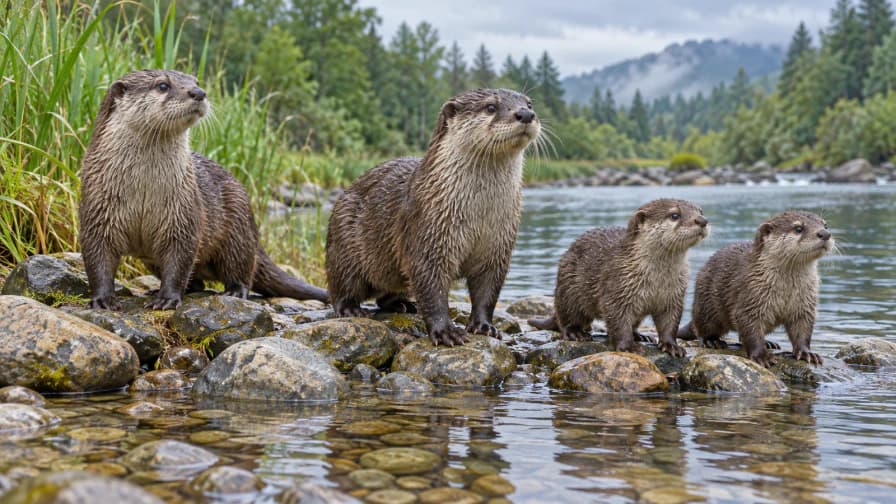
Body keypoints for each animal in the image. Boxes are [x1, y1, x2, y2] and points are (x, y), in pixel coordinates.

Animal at [79, 69, 327, 310]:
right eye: (162, 85)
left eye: (195, 81)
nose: (199, 92)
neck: (143, 189)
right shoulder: (97, 207)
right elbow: (98, 257)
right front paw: (103, 299)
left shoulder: (183, 213)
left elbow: (179, 260)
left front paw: (167, 299)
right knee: (196, 280)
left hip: (238, 227)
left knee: (240, 268)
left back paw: (234, 291)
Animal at [326, 88, 541, 345]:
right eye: (490, 107)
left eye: (529, 103)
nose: (525, 114)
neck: (479, 216)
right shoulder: (428, 232)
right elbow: (431, 287)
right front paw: (446, 331)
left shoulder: (497, 246)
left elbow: (487, 291)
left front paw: (484, 326)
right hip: (343, 243)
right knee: (340, 286)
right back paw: (350, 308)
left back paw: (403, 305)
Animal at [529, 199, 709, 357]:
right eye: (674, 215)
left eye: (700, 211)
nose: (702, 220)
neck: (657, 281)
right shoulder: (617, 288)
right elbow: (618, 321)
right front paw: (628, 347)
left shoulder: (674, 296)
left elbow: (669, 323)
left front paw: (671, 346)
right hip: (568, 287)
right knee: (566, 317)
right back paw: (576, 333)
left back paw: (640, 335)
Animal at [677, 211, 833, 367]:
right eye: (798, 228)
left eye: (825, 225)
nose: (825, 233)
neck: (786, 291)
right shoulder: (751, 296)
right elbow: (750, 328)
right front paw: (761, 356)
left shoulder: (805, 305)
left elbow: (803, 330)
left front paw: (807, 353)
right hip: (706, 304)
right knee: (703, 329)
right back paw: (712, 341)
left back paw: (769, 342)